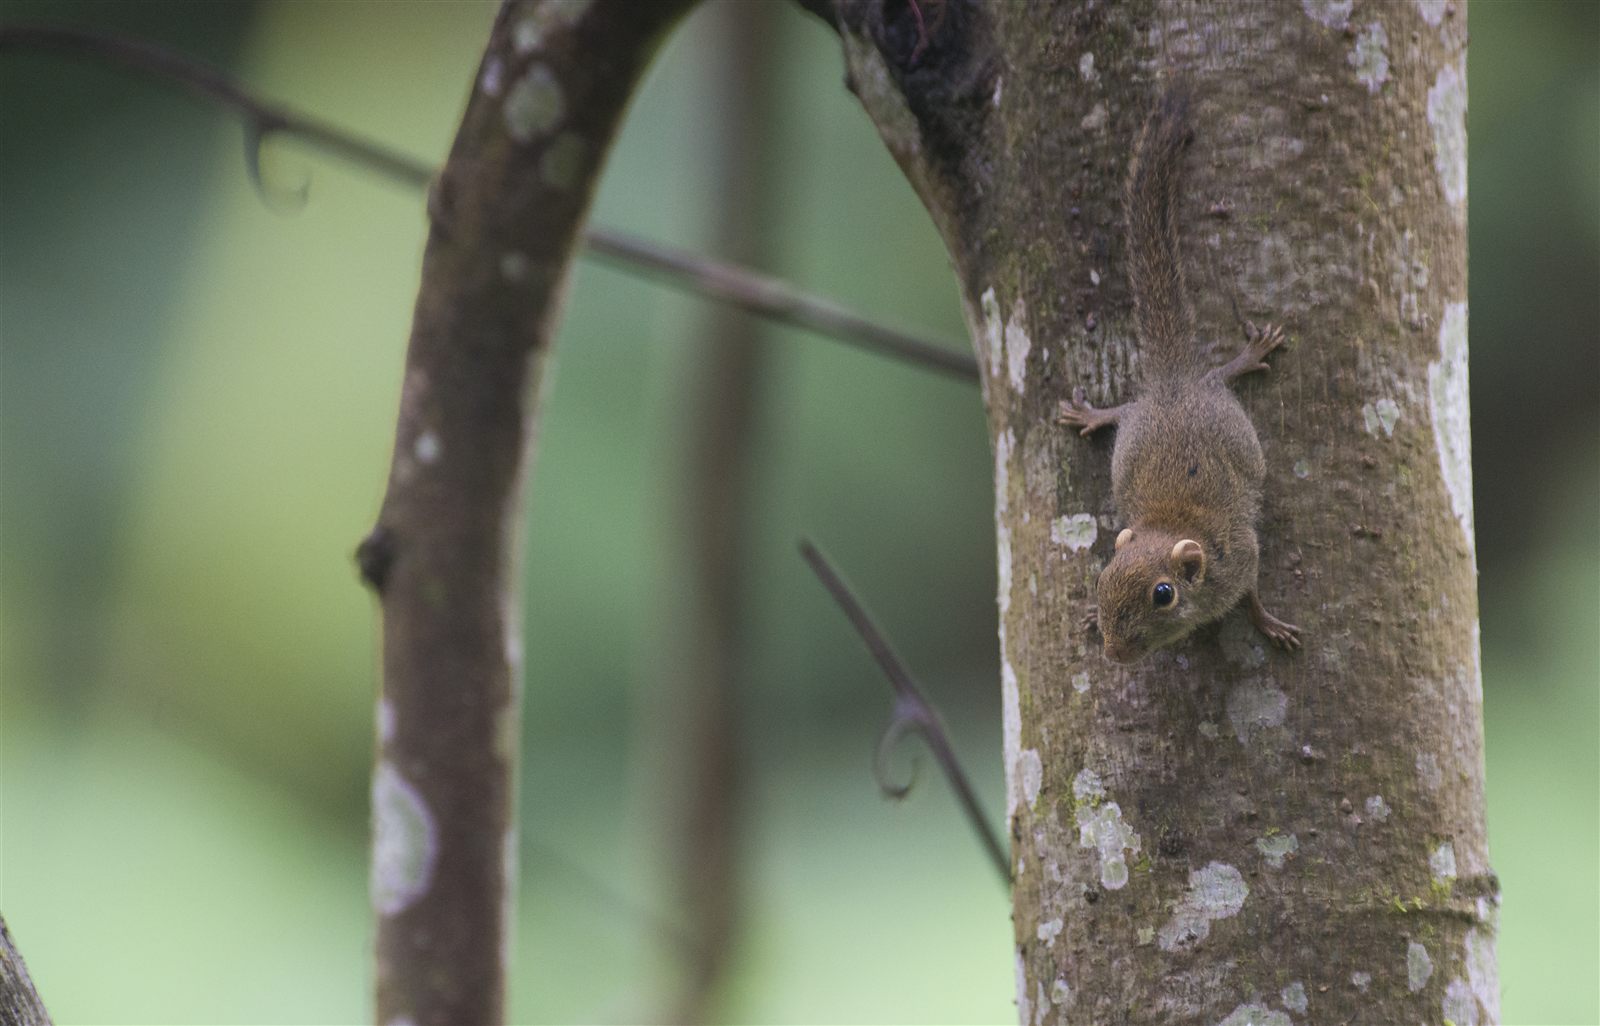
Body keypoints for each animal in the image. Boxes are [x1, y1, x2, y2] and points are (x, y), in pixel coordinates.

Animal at [1058, 86, 1302, 664]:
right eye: (1102, 579)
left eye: (1162, 594)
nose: (1114, 654)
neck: (1171, 525)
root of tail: (1172, 382)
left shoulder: (1242, 554)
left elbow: (1251, 592)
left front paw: (1268, 623)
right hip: (1139, 420)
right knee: (1125, 407)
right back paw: (1090, 412)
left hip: (1219, 404)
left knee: (1218, 374)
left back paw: (1249, 353)